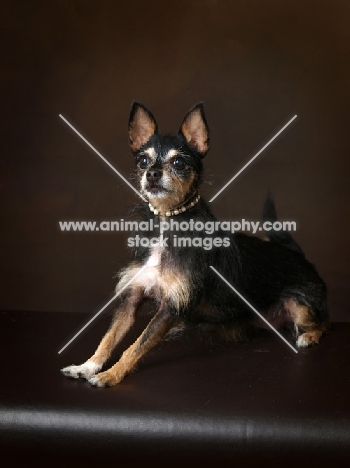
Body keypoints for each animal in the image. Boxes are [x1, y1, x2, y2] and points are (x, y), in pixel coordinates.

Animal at [61, 102, 330, 388]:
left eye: (178, 162)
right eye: (143, 161)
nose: (152, 173)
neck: (167, 223)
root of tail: (296, 254)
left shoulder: (171, 308)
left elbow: (135, 346)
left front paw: (110, 375)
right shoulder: (131, 299)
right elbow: (109, 339)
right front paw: (87, 366)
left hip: (300, 306)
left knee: (324, 322)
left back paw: (309, 336)